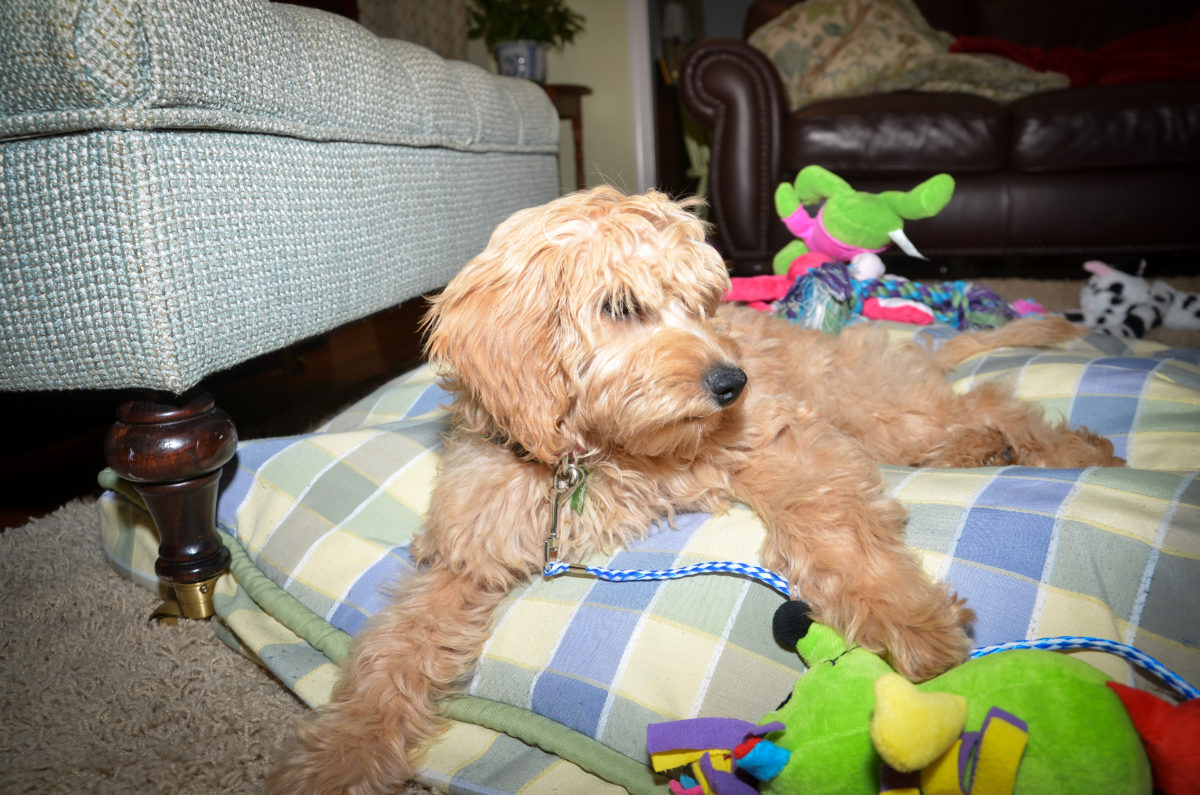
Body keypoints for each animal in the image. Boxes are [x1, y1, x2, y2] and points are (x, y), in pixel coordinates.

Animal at [270, 188, 1113, 795]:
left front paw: (909, 618)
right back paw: (991, 447)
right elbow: (390, 658)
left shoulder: (780, 443)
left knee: (992, 402)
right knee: (977, 413)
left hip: (873, 406)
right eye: (620, 306)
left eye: (704, 303)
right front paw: (337, 758)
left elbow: (834, 530)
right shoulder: (463, 558)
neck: (599, 452)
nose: (732, 381)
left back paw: (1072, 446)